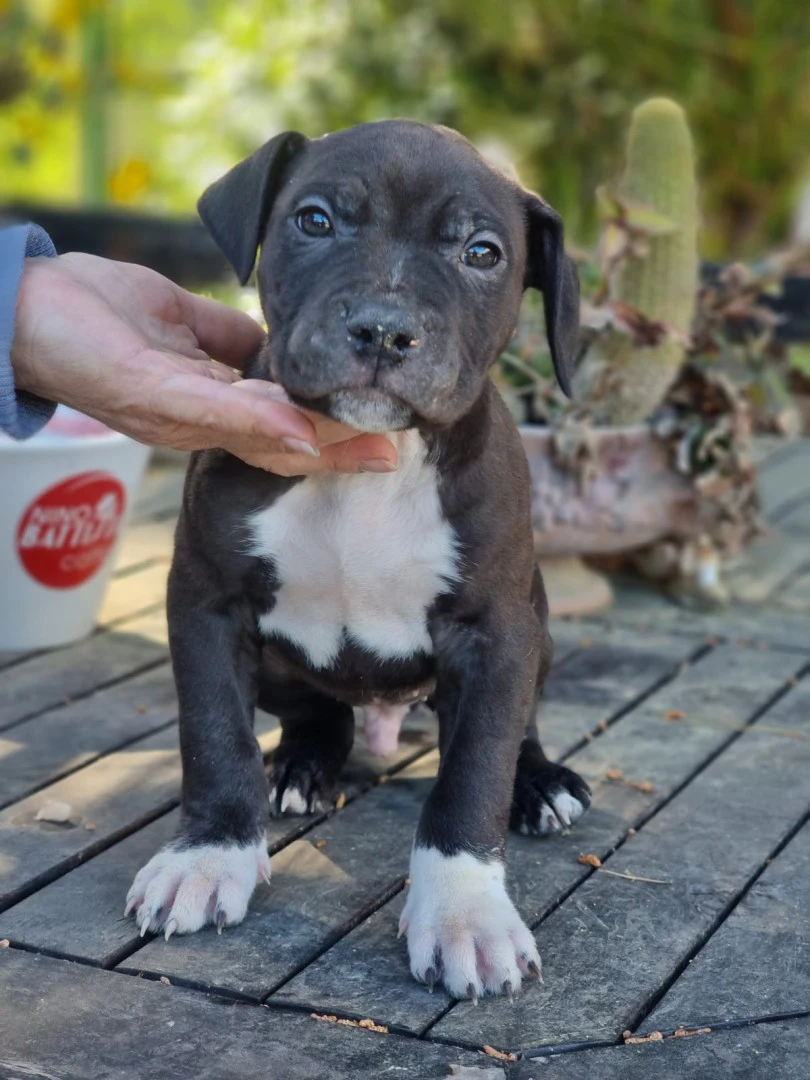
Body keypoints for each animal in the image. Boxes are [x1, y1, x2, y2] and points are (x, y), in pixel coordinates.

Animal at [128, 122, 596, 997]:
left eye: (482, 252)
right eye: (314, 221)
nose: (384, 329)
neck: (363, 461)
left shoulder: (497, 634)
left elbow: (473, 772)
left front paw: (464, 913)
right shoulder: (207, 603)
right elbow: (213, 736)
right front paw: (208, 856)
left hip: (540, 632)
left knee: (515, 731)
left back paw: (541, 782)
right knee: (320, 713)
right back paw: (300, 767)